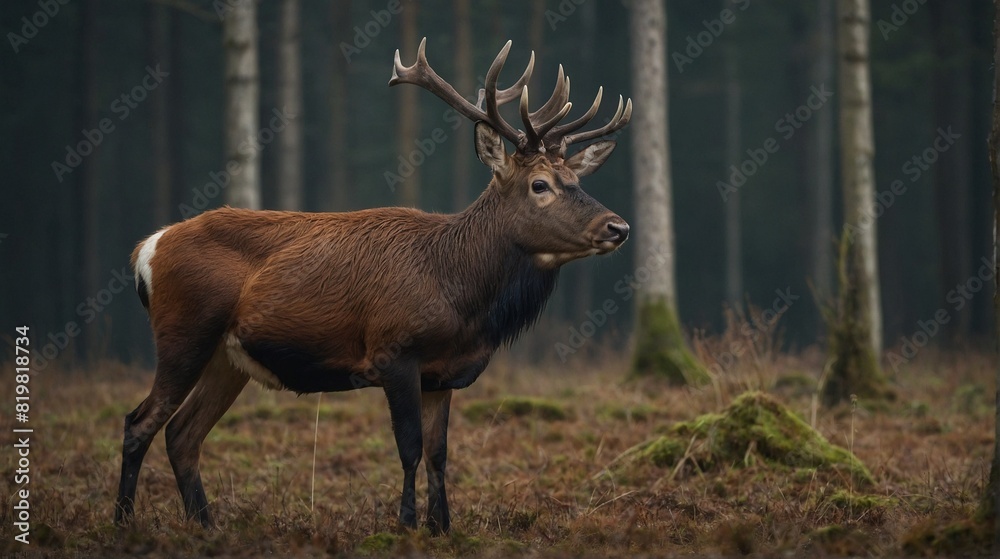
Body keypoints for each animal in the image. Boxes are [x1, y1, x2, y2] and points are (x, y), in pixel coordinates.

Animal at [115, 37, 632, 536]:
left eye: (577, 178)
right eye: (540, 184)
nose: (619, 226)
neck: (460, 297)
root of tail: (146, 249)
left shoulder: (443, 374)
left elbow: (440, 453)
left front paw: (442, 528)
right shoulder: (394, 351)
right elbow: (409, 448)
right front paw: (405, 526)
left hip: (227, 358)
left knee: (182, 434)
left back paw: (206, 526)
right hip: (185, 333)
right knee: (140, 422)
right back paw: (124, 522)